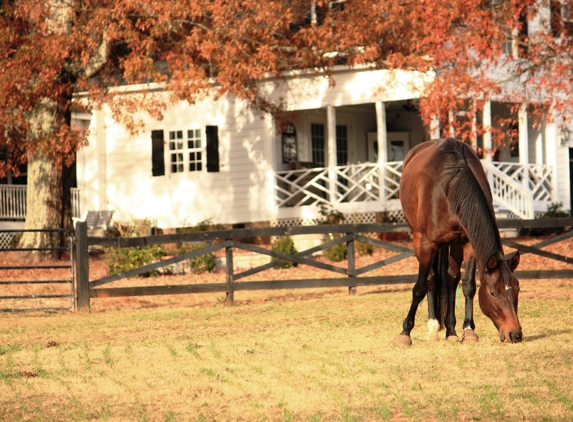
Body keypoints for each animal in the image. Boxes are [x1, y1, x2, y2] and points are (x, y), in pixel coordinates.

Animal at [396, 138, 520, 346]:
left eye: (517, 290)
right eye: (493, 293)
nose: (516, 334)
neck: (451, 187)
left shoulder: (469, 244)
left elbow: (468, 285)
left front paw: (468, 330)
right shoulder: (427, 244)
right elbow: (420, 287)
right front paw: (405, 333)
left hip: (453, 244)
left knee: (451, 278)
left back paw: (451, 331)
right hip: (418, 238)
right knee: (431, 279)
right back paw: (433, 328)